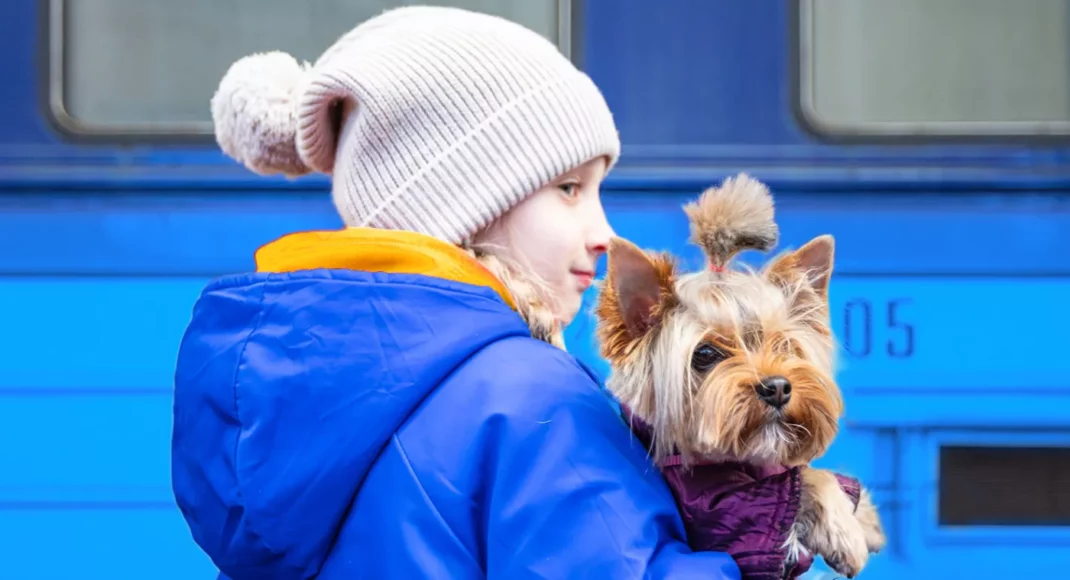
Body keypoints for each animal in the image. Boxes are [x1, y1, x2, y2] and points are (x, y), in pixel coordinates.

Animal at [594, 175, 885, 577]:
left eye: (784, 345)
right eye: (705, 355)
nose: (777, 388)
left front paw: (866, 518)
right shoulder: (722, 520)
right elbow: (803, 478)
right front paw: (847, 534)